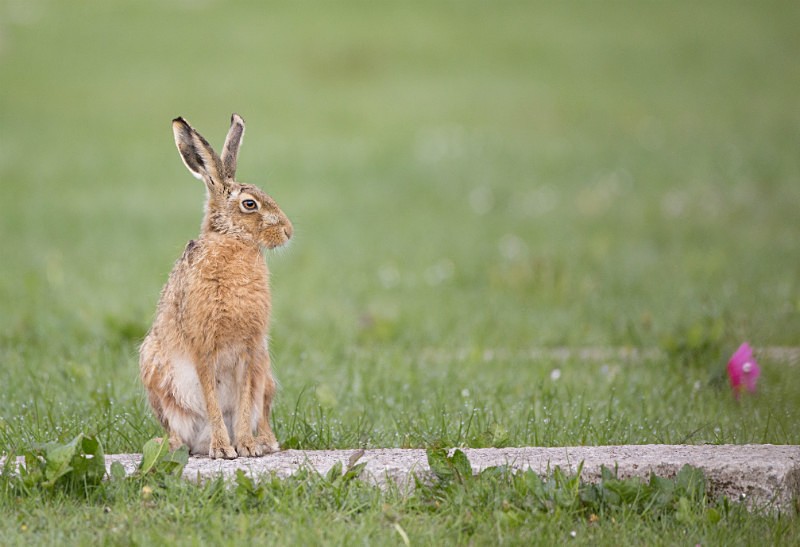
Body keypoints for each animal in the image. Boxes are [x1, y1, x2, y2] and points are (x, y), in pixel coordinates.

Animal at [139, 114, 292, 458]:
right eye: (250, 204)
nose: (288, 231)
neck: (232, 242)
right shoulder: (202, 346)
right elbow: (211, 399)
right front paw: (223, 449)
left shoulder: (250, 348)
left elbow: (244, 400)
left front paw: (246, 446)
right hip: (154, 372)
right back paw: (175, 445)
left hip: (266, 370)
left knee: (261, 408)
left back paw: (263, 442)